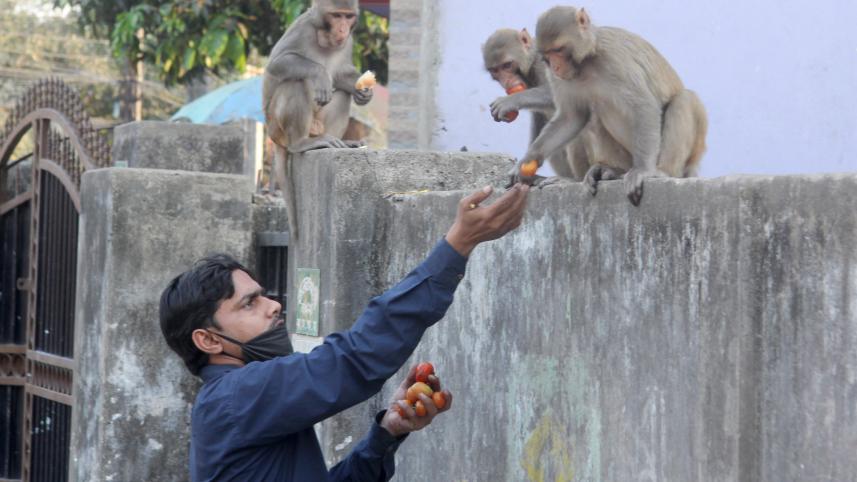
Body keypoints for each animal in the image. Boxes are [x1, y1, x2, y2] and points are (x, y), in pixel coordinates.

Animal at [263, 0, 372, 238]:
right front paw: (320, 73)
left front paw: (363, 93)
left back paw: (337, 140)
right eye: (337, 16)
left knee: (342, 94)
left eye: (348, 17)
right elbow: (277, 63)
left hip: (317, 123)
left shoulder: (348, 42)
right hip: (276, 125)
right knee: (297, 82)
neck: (324, 37)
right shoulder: (301, 28)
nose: (342, 29)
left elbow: (342, 75)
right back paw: (301, 143)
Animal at [483, 28, 631, 189]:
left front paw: (511, 100)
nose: (507, 82)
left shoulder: (545, 66)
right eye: (495, 70)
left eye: (507, 65)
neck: (531, 63)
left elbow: (560, 93)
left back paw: (575, 179)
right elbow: (540, 118)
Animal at [515, 6, 707, 205]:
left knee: (683, 100)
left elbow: (643, 105)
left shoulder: (615, 60)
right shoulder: (557, 78)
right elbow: (572, 117)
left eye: (558, 50)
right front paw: (530, 157)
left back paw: (662, 171)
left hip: (692, 150)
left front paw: (643, 170)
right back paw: (611, 171)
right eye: (547, 56)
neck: (586, 63)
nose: (555, 68)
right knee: (597, 114)